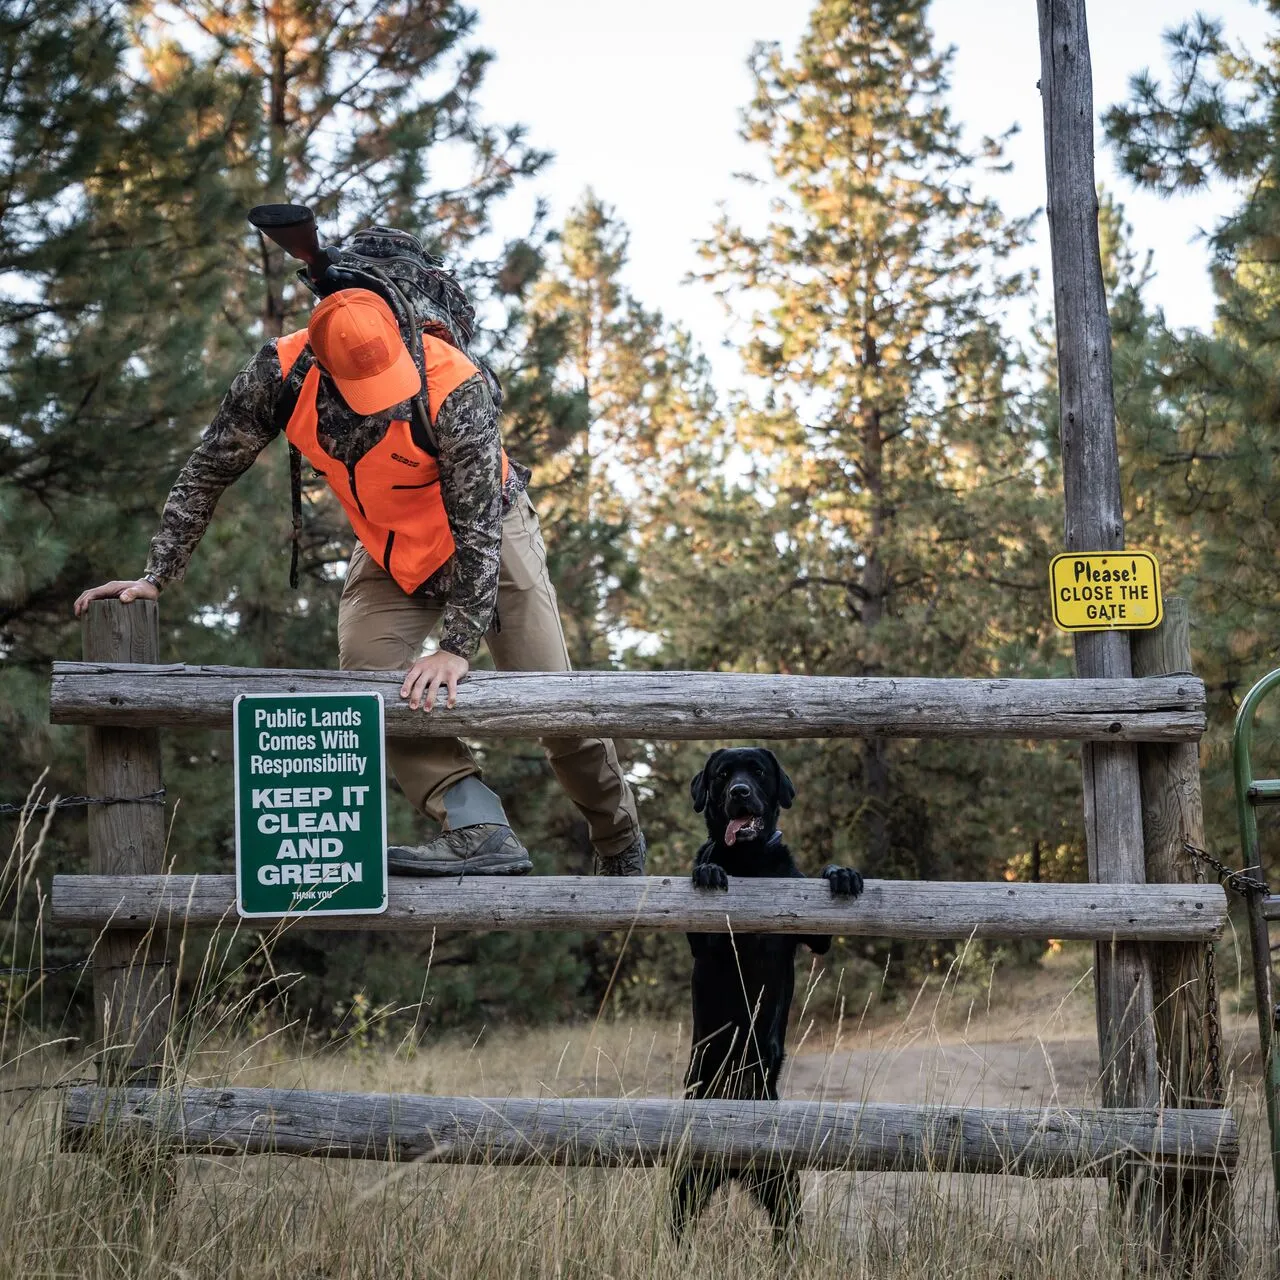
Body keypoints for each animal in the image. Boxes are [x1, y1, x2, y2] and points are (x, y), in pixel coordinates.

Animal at [670, 747, 860, 1244]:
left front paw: (842, 872)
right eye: (722, 775)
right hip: (689, 1179)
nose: (739, 792)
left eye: (756, 772)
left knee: (786, 1228)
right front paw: (708, 868)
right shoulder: (706, 942)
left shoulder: (813, 934)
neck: (750, 861)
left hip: (782, 1182)